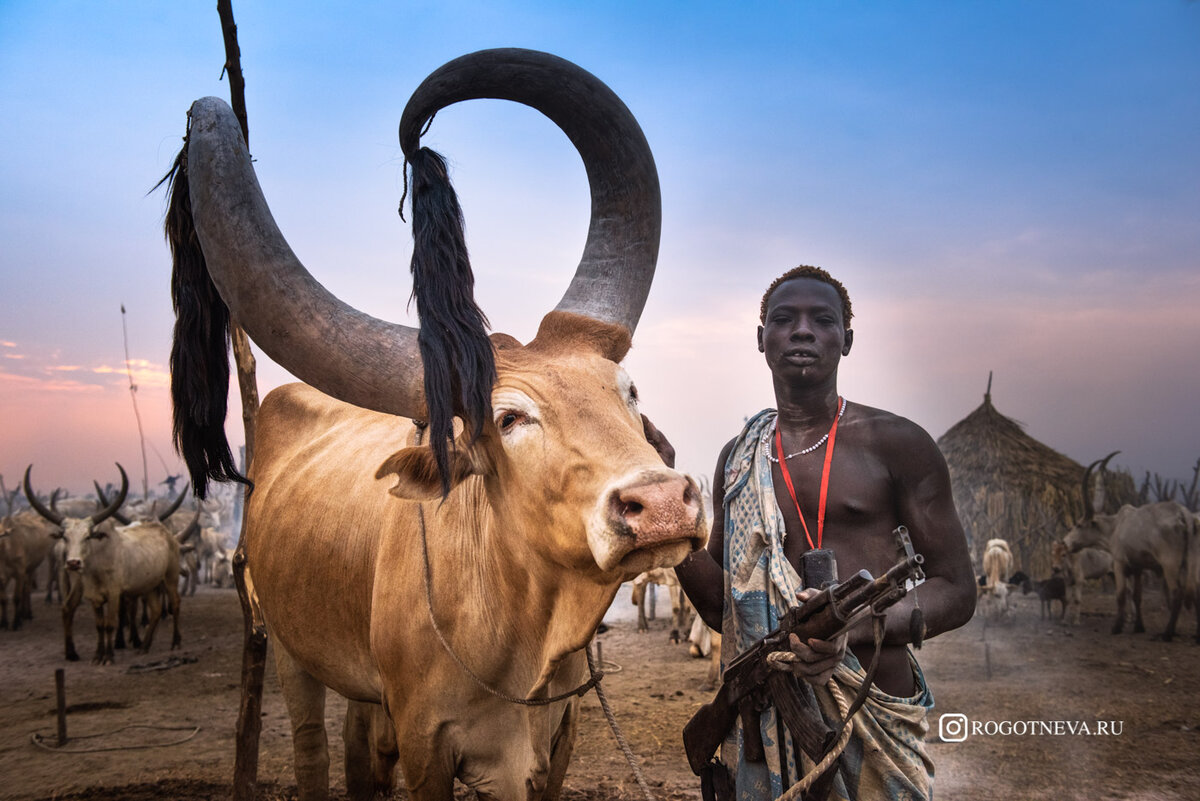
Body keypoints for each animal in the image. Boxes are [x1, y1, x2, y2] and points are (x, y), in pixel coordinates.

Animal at [169, 50, 710, 801]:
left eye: (628, 391)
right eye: (508, 418)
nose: (661, 505)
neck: (518, 639)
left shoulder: (556, 740)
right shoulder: (426, 741)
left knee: (359, 748)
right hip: (288, 649)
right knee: (312, 749)